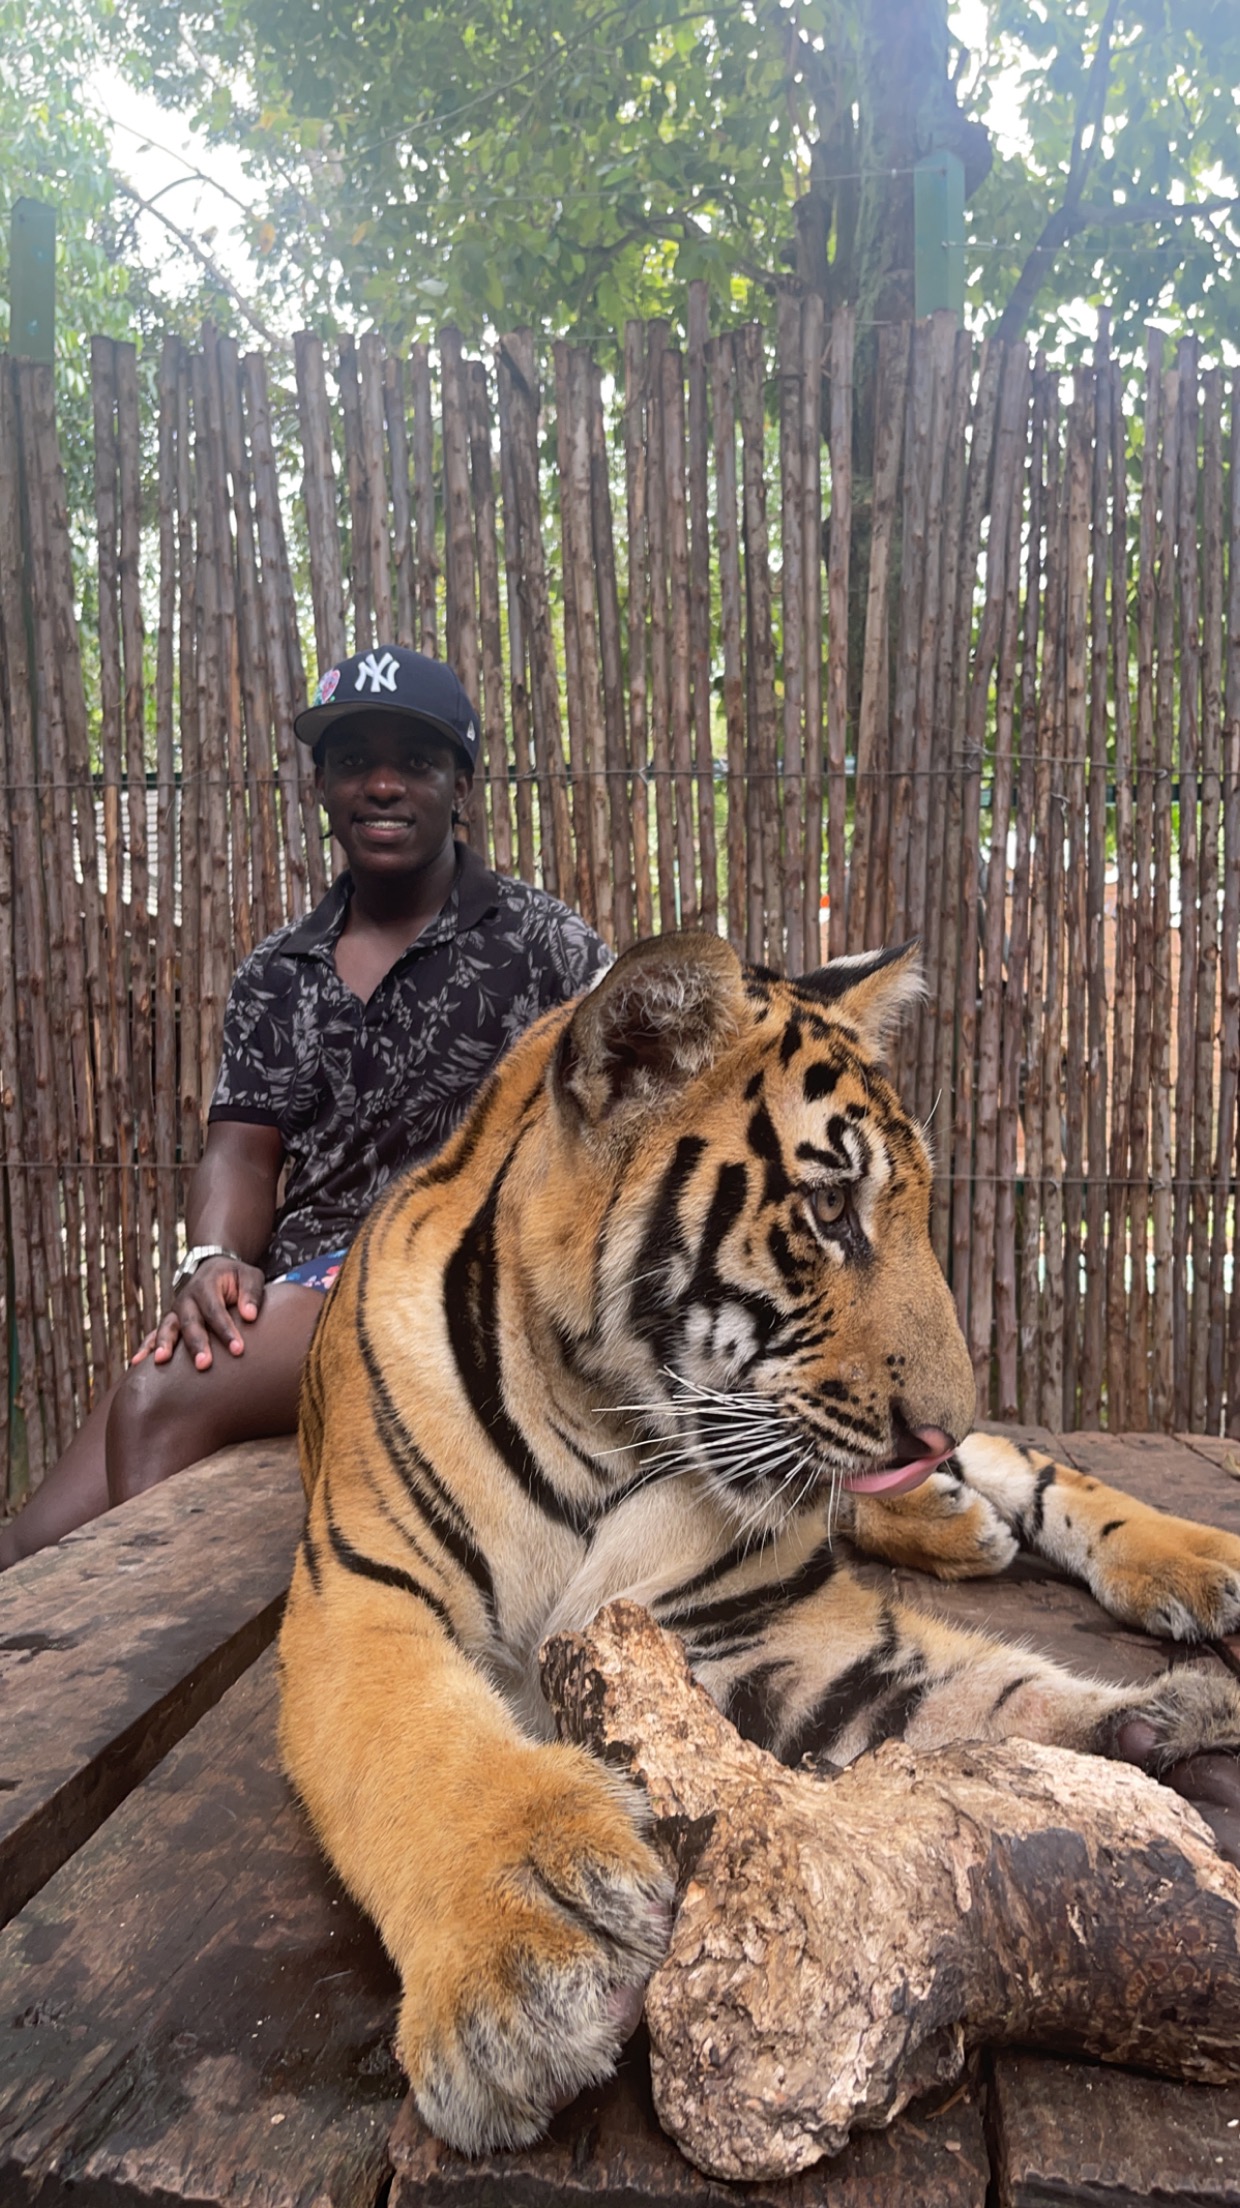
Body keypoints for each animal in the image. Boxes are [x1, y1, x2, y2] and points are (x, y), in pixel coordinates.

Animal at [274, 931, 1235, 2155]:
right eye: (828, 1211)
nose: (944, 1422)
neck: (601, 1424)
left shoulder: (757, 1623)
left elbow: (977, 1698)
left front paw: (1166, 1737)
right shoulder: (359, 1601)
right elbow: (422, 1748)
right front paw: (529, 1946)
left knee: (1043, 1473)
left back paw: (1183, 1560)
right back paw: (951, 1520)